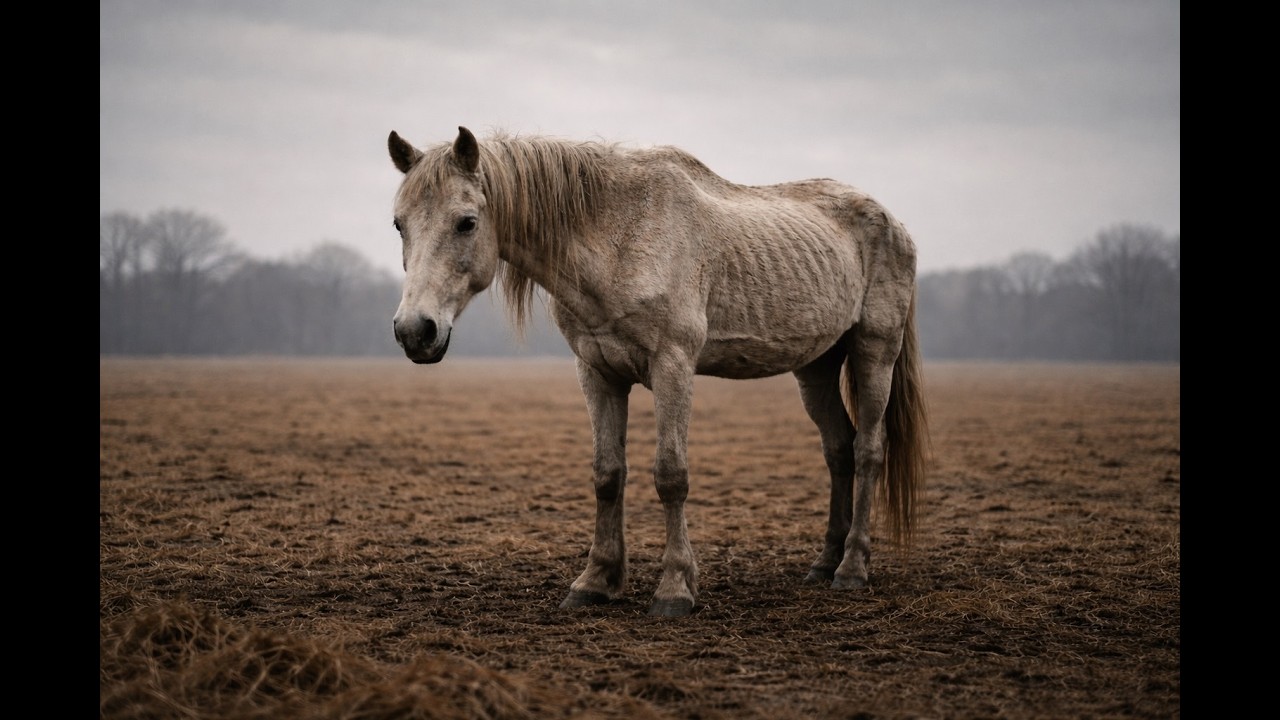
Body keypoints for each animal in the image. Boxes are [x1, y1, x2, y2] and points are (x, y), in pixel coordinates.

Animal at [387, 126, 929, 617]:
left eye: (466, 222)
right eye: (398, 224)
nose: (415, 331)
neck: (619, 235)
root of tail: (893, 222)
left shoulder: (674, 367)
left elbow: (671, 476)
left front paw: (674, 589)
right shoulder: (597, 372)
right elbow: (608, 474)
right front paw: (595, 582)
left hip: (874, 352)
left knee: (867, 451)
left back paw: (852, 568)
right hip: (816, 367)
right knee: (837, 450)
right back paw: (823, 562)